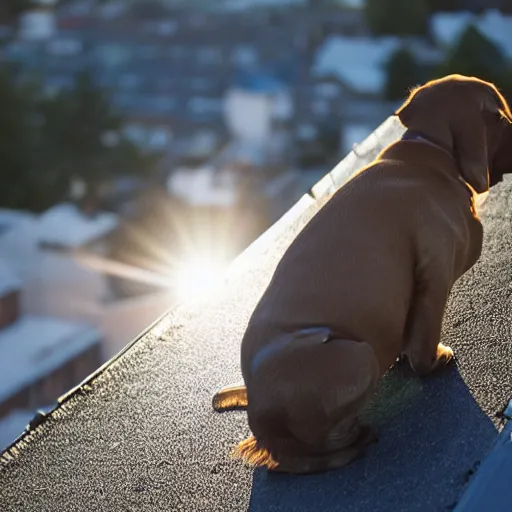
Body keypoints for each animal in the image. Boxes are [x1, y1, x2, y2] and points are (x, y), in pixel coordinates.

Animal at [212, 74, 512, 474]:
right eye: (502, 118)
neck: (432, 152)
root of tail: (262, 418)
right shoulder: (435, 271)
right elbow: (423, 344)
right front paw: (433, 361)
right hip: (358, 356)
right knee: (329, 443)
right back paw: (358, 435)